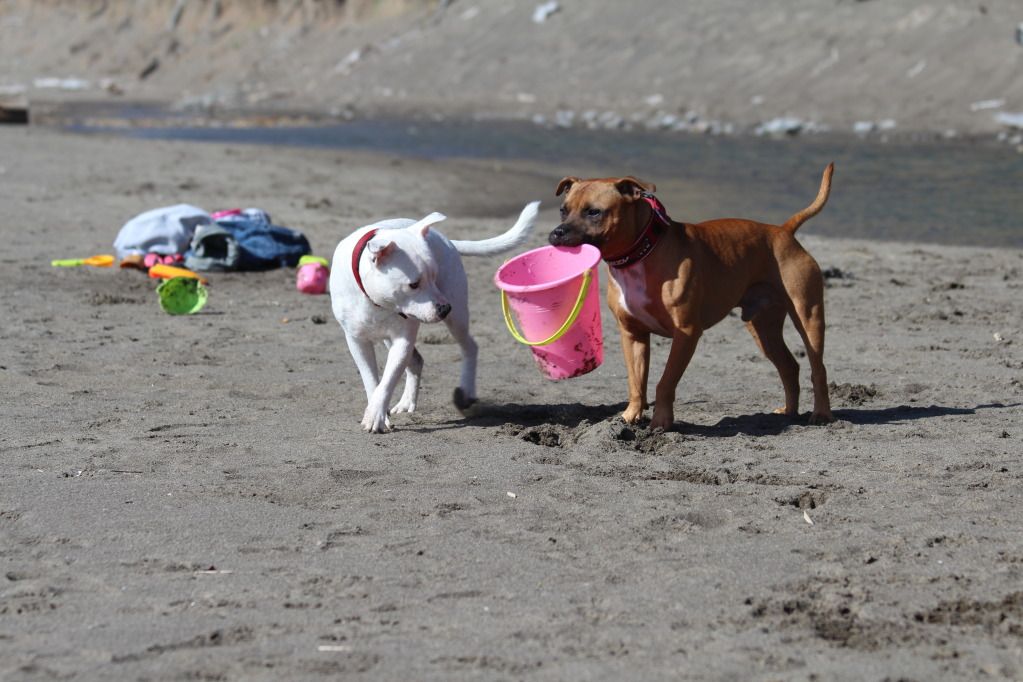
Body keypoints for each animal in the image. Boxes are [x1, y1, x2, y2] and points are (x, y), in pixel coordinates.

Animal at [329, 201, 540, 431]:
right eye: (413, 284)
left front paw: (376, 414)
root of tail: (447, 240)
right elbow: (372, 381)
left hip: (457, 318)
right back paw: (406, 402)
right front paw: (377, 413)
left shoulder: (403, 339)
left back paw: (466, 391)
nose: (444, 308)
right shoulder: (357, 341)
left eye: (434, 275)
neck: (376, 302)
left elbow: (388, 380)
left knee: (469, 347)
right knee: (416, 361)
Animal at [548, 164, 834, 429]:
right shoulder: (633, 335)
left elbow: (665, 382)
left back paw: (821, 414)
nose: (557, 233)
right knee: (789, 366)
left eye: (594, 212)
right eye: (563, 209)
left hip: (808, 318)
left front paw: (661, 422)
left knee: (818, 367)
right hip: (763, 328)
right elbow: (636, 382)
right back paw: (789, 412)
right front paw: (630, 417)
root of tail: (784, 230)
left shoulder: (685, 333)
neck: (642, 252)